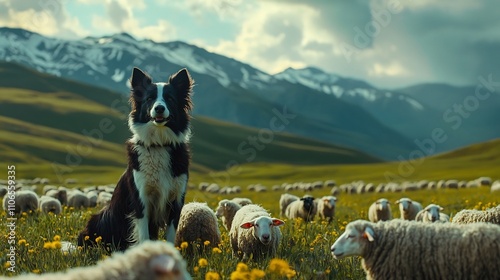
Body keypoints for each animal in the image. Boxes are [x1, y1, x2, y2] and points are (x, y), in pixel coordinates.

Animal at [78, 68, 193, 252]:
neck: (159, 144)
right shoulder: (141, 201)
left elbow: (170, 235)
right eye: (149, 98)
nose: (159, 108)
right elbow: (143, 235)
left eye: (169, 98)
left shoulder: (176, 200)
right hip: (99, 220)